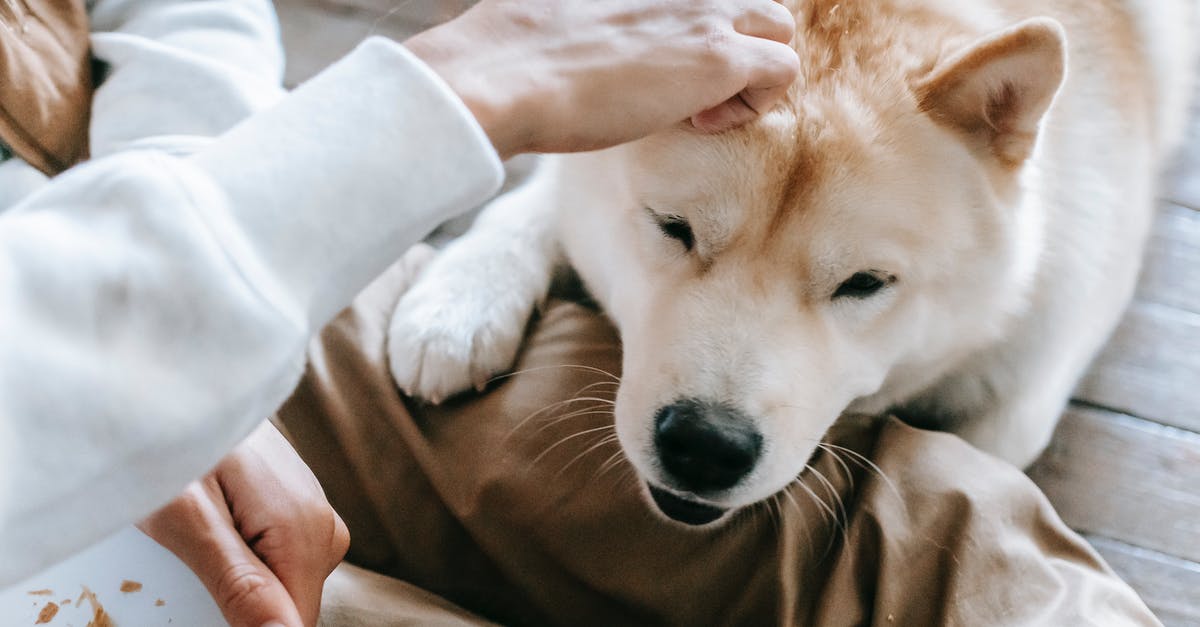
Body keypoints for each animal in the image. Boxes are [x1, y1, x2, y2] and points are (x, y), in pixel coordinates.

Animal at [388, 1, 1195, 521]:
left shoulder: (1020, 395)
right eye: (672, 228)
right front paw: (459, 299)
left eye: (865, 284)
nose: (706, 446)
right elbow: (535, 200)